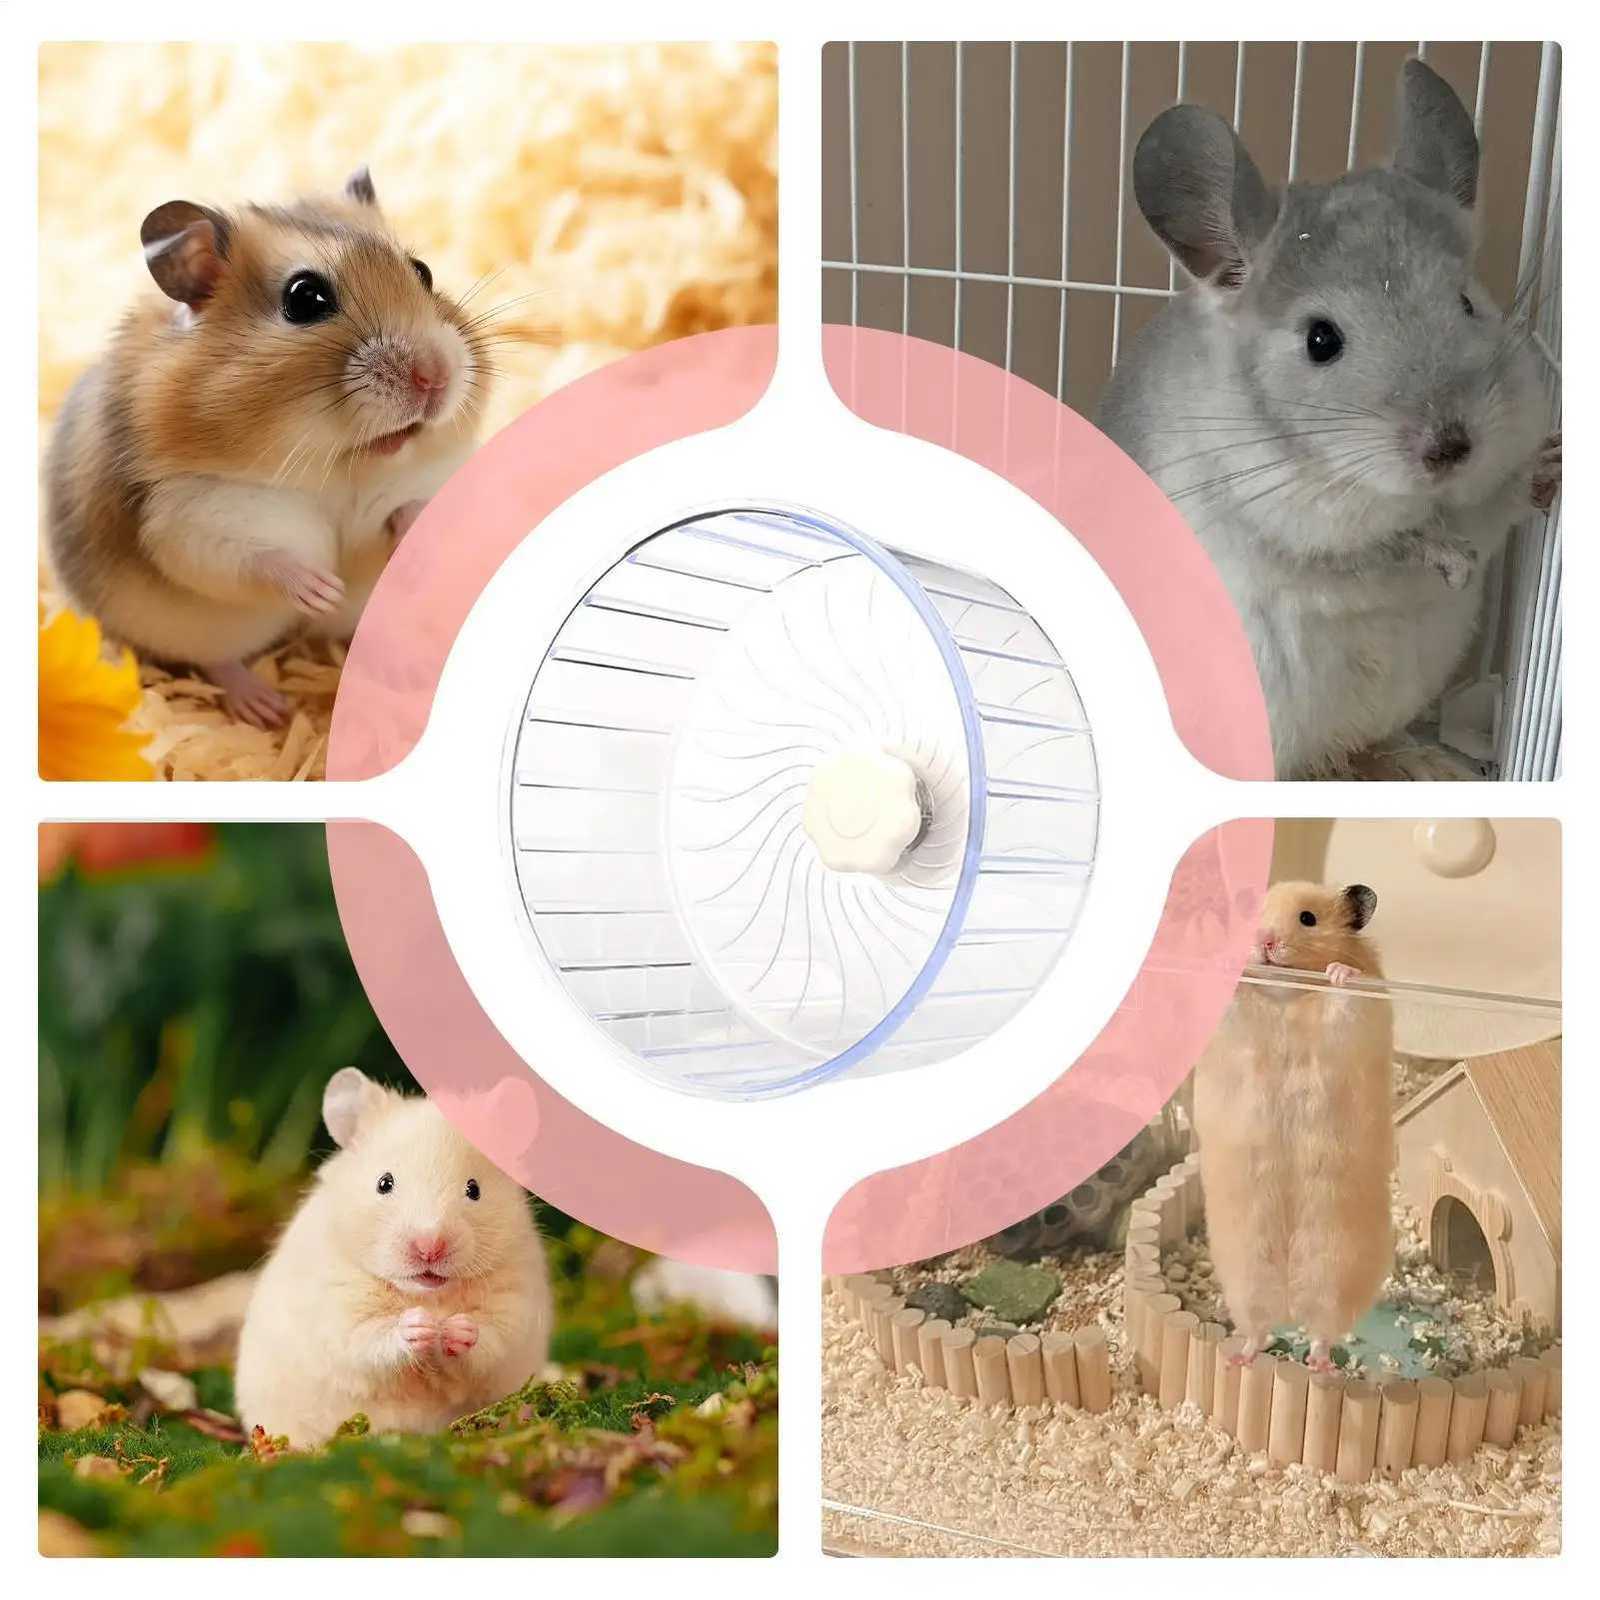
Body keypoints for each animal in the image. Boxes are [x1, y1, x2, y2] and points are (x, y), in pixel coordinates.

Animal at [45, 169, 491, 728]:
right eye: (305, 298)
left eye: (423, 271)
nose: (435, 377)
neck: (339, 464)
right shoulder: (191, 517)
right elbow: (255, 560)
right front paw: (321, 589)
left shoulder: (428, 476)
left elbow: (413, 509)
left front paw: (406, 534)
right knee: (217, 661)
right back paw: (267, 709)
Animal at [234, 1068, 551, 1448]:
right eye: (384, 1183)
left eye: (474, 1189)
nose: (430, 1246)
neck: (428, 1295)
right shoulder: (339, 1309)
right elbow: (370, 1338)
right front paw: (419, 1326)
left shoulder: (514, 1303)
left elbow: (491, 1339)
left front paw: (456, 1329)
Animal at [1098, 60, 1559, 777]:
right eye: (1321, 340)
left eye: (1466, 303)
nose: (1451, 448)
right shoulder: (1278, 526)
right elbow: (1367, 555)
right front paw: (1447, 559)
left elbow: (1497, 510)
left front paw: (1551, 468)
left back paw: (1417, 762)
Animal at [1193, 881, 1393, 1369]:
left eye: (1308, 919)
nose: (1264, 941)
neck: (1284, 995)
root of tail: (1288, 1295)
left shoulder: (1362, 1015)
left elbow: (1348, 996)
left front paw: (1339, 971)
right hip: (1246, 1267)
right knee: (1258, 1327)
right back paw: (1241, 1358)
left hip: (1335, 1263)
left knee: (1323, 1328)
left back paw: (1320, 1367)